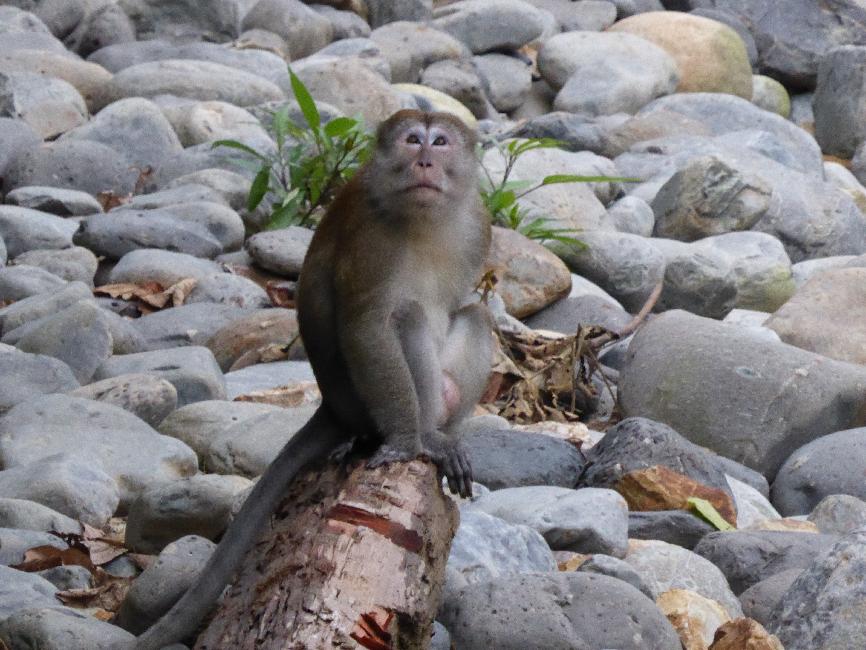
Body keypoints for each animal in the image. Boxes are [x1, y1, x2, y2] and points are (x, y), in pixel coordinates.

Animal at [124, 109, 493, 649]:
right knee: (404, 317)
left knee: (475, 316)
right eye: (413, 140)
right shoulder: (372, 237)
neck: (424, 218)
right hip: (362, 403)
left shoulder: (476, 225)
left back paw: (446, 436)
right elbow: (367, 328)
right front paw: (408, 442)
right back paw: (428, 437)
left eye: (440, 142)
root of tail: (332, 407)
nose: (425, 160)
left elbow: (463, 306)